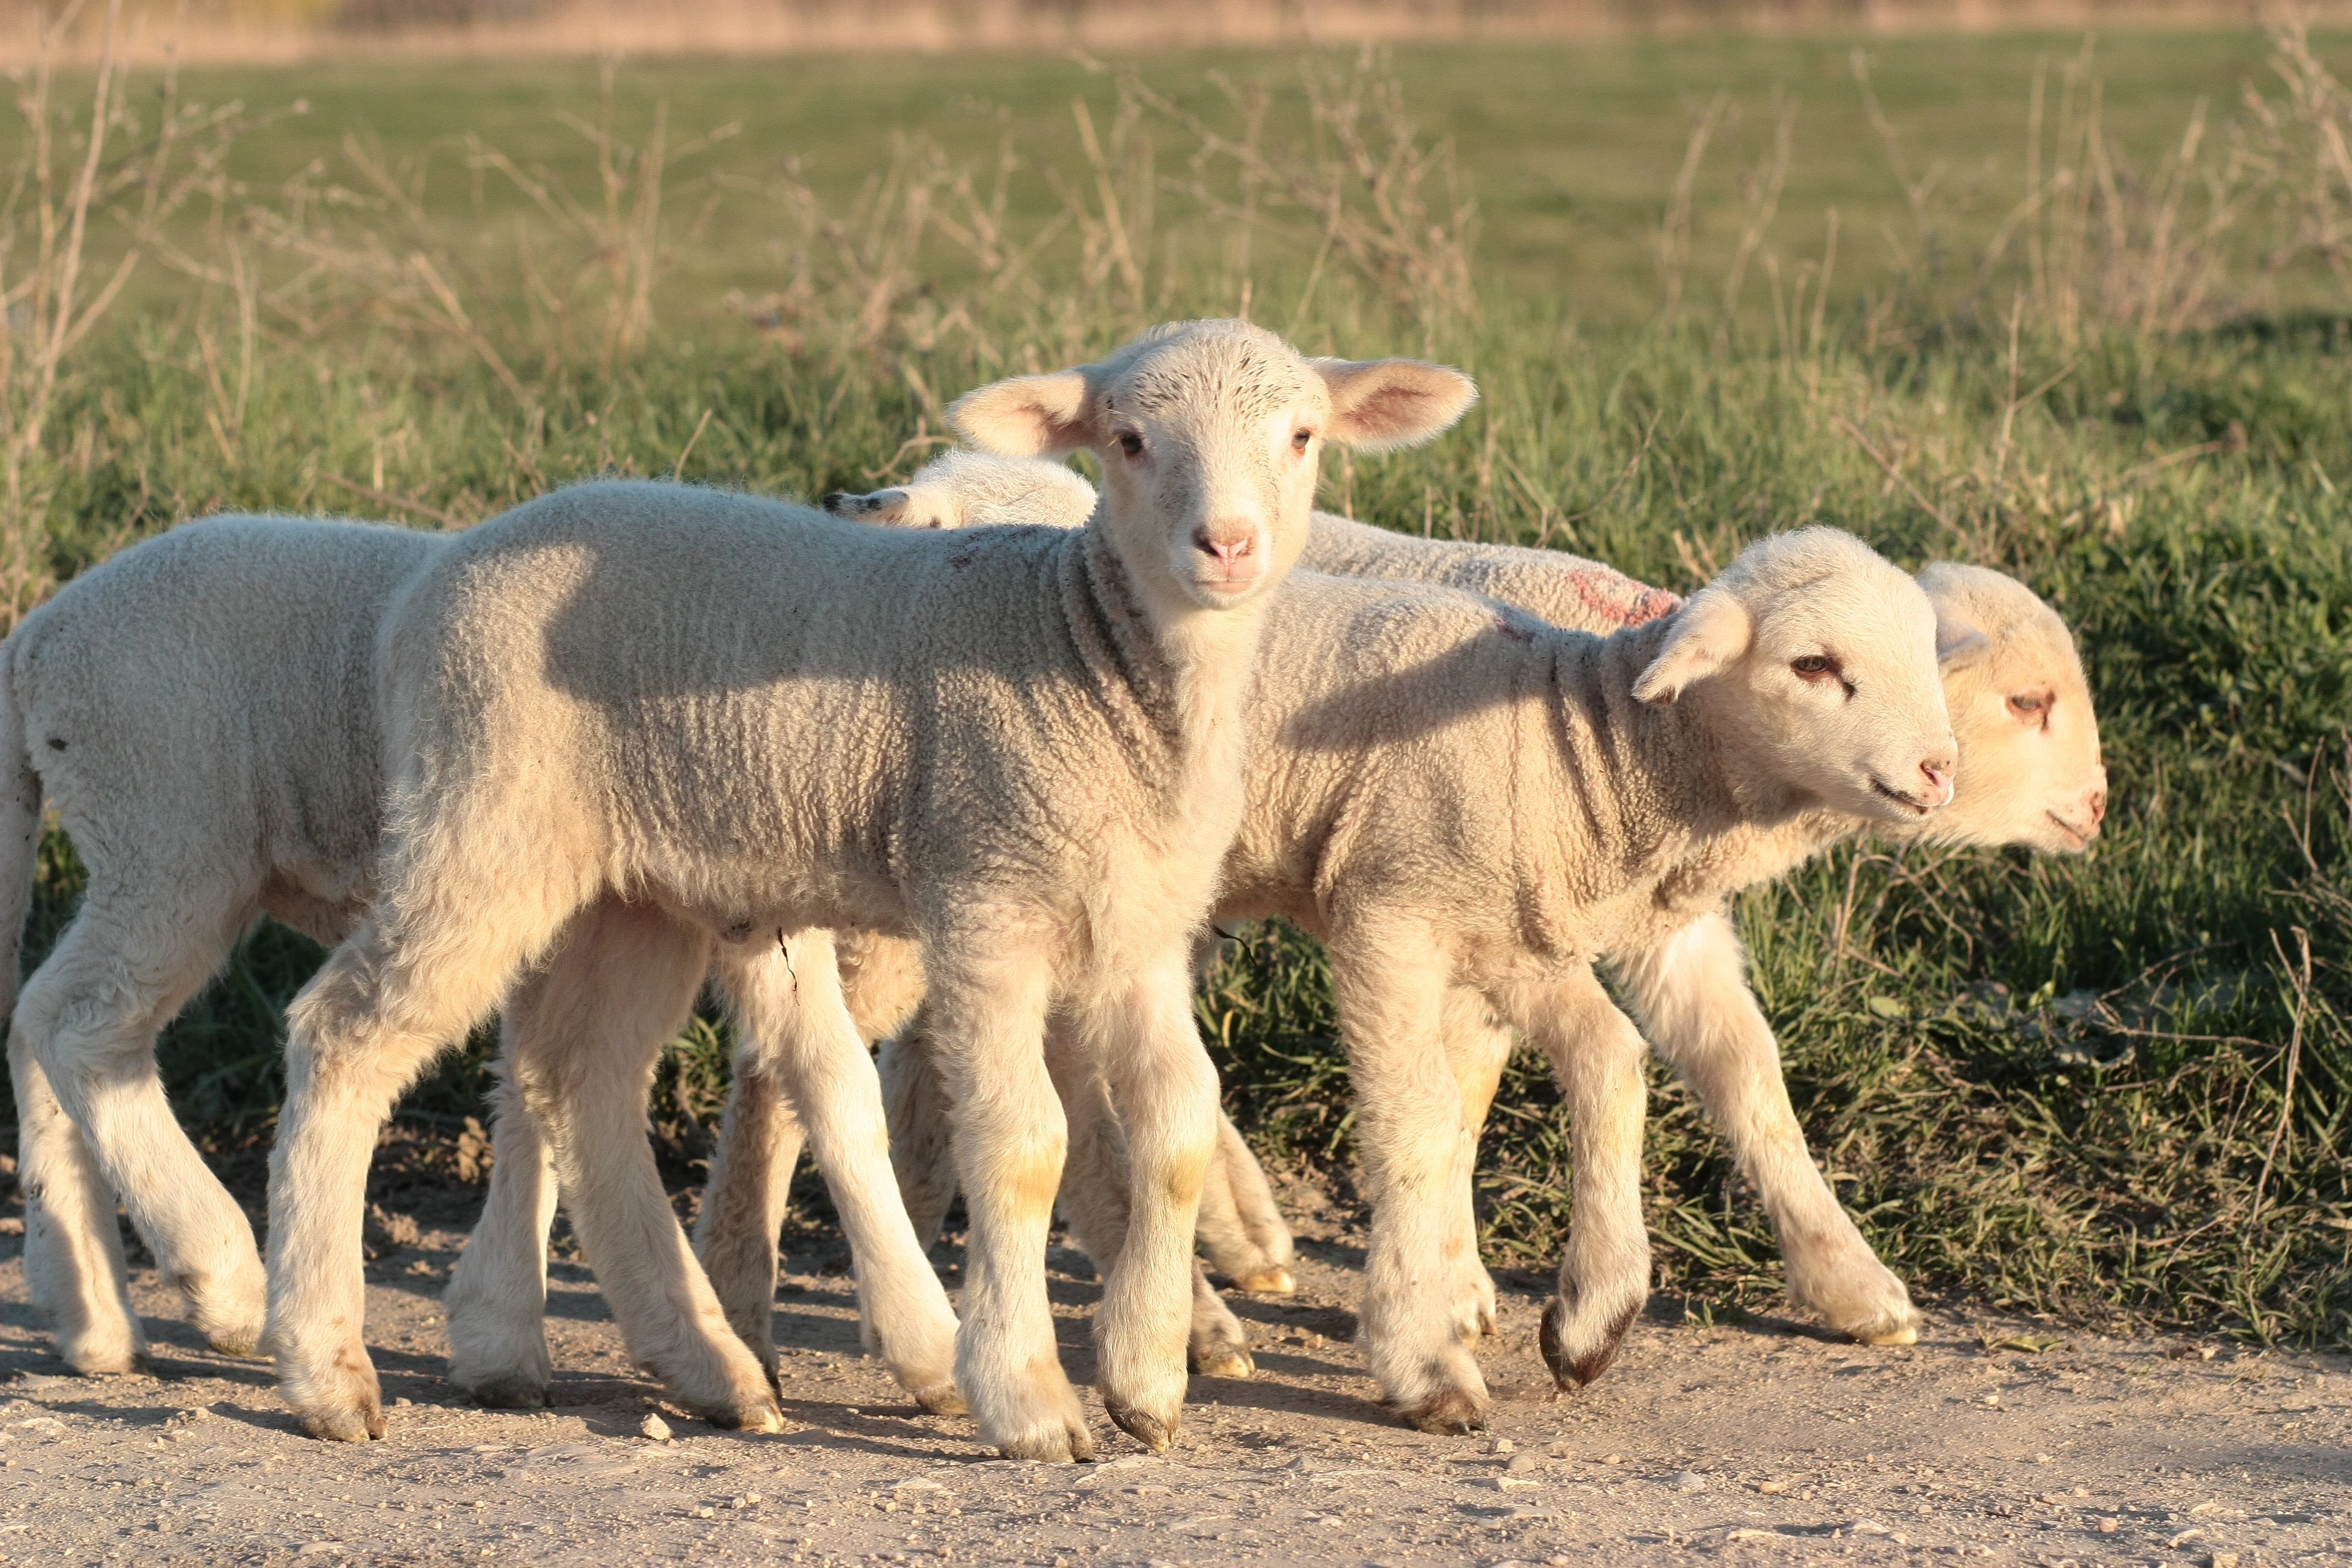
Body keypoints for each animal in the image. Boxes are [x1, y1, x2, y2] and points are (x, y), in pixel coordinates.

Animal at [252, 319, 1478, 1456]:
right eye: (1130, 440)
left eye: (1303, 435)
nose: (1226, 545)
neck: (1090, 655)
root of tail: (433, 577)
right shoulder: (985, 896)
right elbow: (1024, 1142)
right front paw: (1028, 1395)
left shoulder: (1134, 928)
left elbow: (1175, 1125)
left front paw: (1148, 1377)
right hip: (483, 816)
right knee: (343, 1033)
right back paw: (328, 1370)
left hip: (629, 884)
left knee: (580, 1079)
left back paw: (710, 1366)